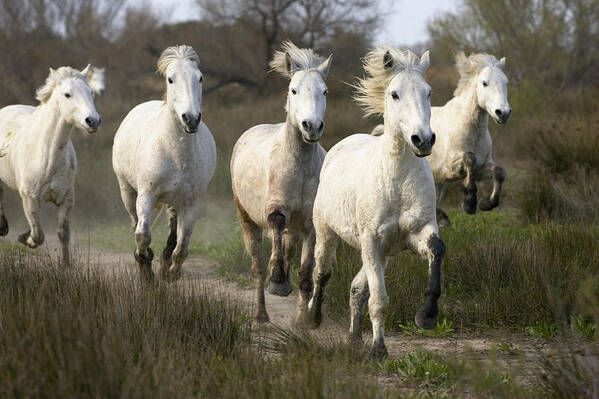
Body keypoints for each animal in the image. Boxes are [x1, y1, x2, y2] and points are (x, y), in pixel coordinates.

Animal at [0, 65, 104, 266]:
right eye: (67, 94)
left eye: (91, 92)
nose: (93, 121)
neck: (47, 158)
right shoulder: (29, 199)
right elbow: (38, 235)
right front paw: (25, 238)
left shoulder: (66, 200)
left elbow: (63, 234)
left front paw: (65, 265)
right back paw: (3, 227)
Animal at [111, 45, 217, 282]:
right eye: (170, 79)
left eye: (200, 77)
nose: (191, 119)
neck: (174, 152)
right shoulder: (146, 195)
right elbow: (142, 235)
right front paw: (146, 269)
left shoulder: (191, 202)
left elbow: (182, 245)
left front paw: (171, 273)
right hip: (127, 191)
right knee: (135, 222)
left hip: (175, 201)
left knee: (173, 229)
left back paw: (165, 260)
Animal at [231, 41, 332, 322]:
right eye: (293, 90)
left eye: (324, 91)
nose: (312, 126)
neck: (300, 165)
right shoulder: (275, 208)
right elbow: (275, 226)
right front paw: (278, 283)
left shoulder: (309, 223)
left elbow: (305, 274)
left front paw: (302, 321)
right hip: (247, 219)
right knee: (257, 266)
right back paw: (261, 316)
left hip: (294, 228)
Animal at [304, 48, 446, 358]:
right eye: (394, 94)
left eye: (429, 92)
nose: (423, 140)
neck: (397, 181)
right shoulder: (371, 240)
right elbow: (379, 299)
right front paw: (378, 350)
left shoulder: (418, 232)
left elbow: (437, 250)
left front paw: (427, 316)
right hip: (327, 234)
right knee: (322, 272)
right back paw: (311, 318)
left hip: (382, 254)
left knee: (356, 289)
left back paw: (354, 338)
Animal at [370, 51, 510, 227]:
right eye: (485, 83)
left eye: (506, 82)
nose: (503, 113)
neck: (473, 131)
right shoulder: (450, 167)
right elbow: (469, 159)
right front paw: (469, 203)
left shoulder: (482, 168)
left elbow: (499, 172)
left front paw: (487, 204)